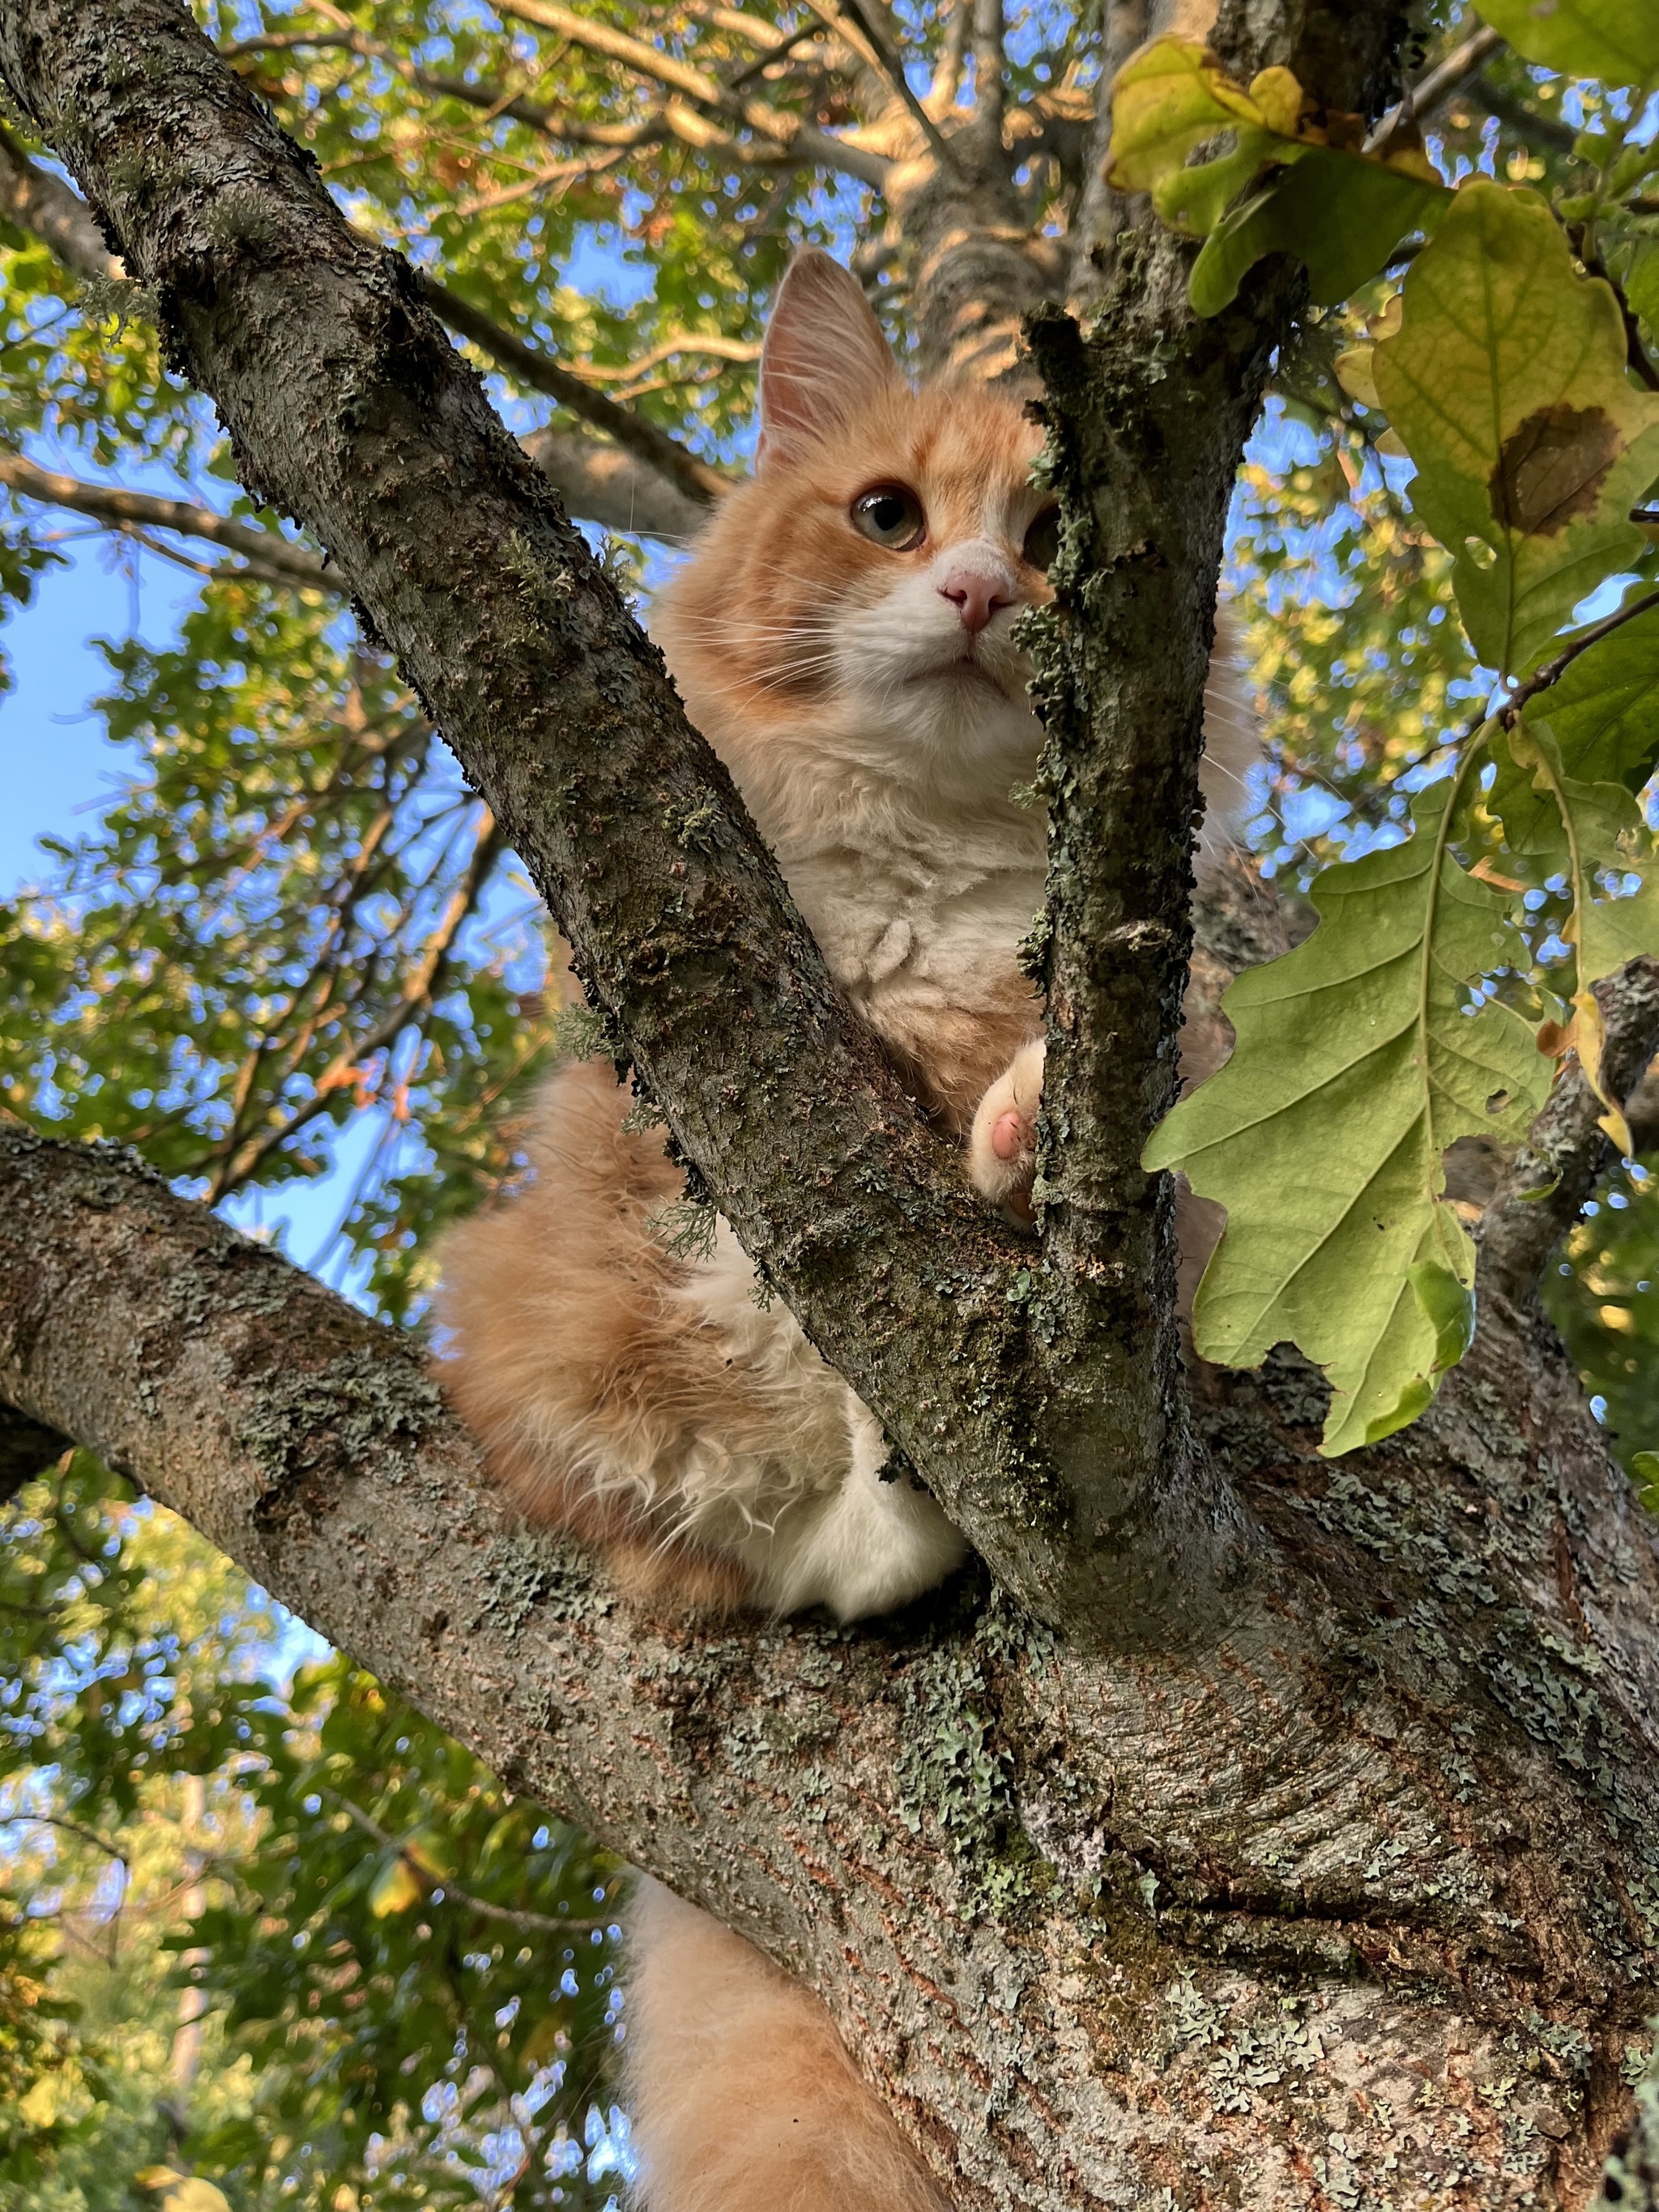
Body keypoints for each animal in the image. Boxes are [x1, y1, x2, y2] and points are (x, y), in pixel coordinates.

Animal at [442, 250, 1256, 2203]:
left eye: (1047, 539)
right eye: (890, 518)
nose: (975, 596)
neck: (931, 878)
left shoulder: (1179, 1088)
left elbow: (1118, 1117)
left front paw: (1023, 1114)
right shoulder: (676, 1085)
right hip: (534, 1323)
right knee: (770, 1548)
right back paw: (886, 1478)